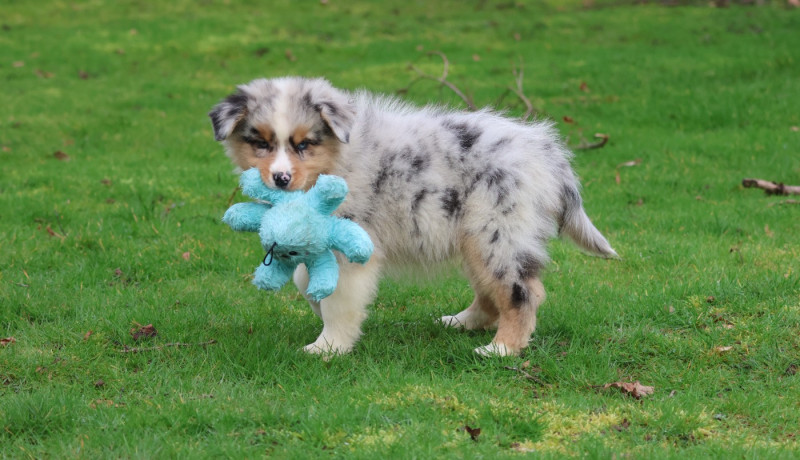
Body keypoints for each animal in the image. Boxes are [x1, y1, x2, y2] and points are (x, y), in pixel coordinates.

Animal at [209, 76, 617, 356]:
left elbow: (337, 298)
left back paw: (501, 349)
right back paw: (461, 323)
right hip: (473, 235)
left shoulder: (354, 245)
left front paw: (327, 347)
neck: (340, 157)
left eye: (304, 144)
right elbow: (304, 278)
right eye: (260, 143)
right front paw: (319, 312)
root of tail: (548, 155)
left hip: (497, 231)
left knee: (521, 292)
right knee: (490, 293)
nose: (280, 179)